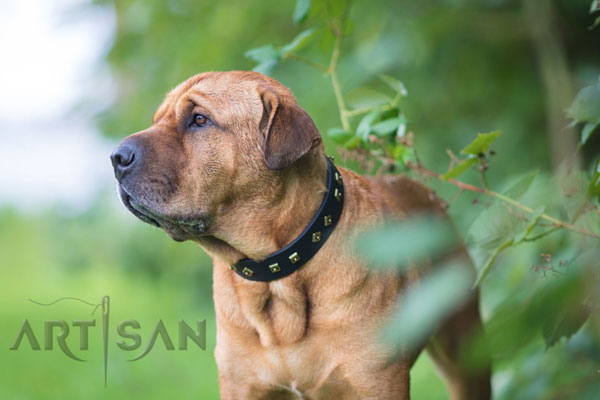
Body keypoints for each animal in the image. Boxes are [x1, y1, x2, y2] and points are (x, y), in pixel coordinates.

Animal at [110, 70, 490, 398]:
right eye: (157, 119)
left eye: (199, 120)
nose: (117, 157)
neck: (277, 277)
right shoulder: (241, 385)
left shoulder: (376, 382)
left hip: (466, 354)